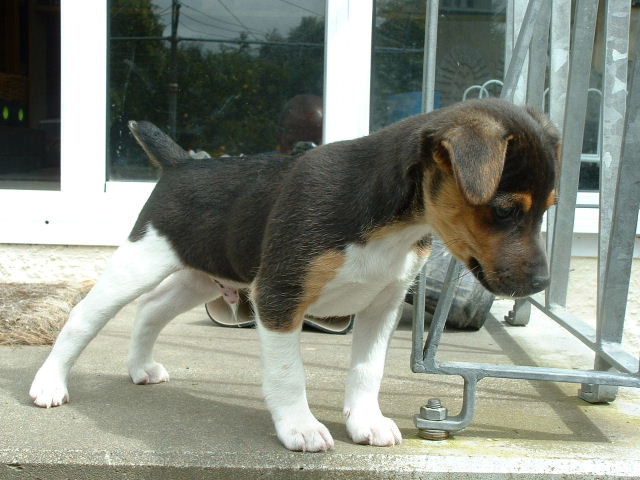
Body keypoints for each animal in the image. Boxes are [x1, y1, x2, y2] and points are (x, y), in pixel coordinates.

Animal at [30, 98, 560, 452]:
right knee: (83, 318)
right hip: (140, 260)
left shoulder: (383, 304)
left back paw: (141, 367)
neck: (395, 224)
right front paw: (299, 428)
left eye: (549, 209)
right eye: (505, 209)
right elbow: (289, 375)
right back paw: (50, 384)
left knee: (152, 310)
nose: (541, 286)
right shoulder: (279, 297)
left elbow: (367, 370)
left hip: (203, 275)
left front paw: (366, 422)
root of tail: (181, 165)